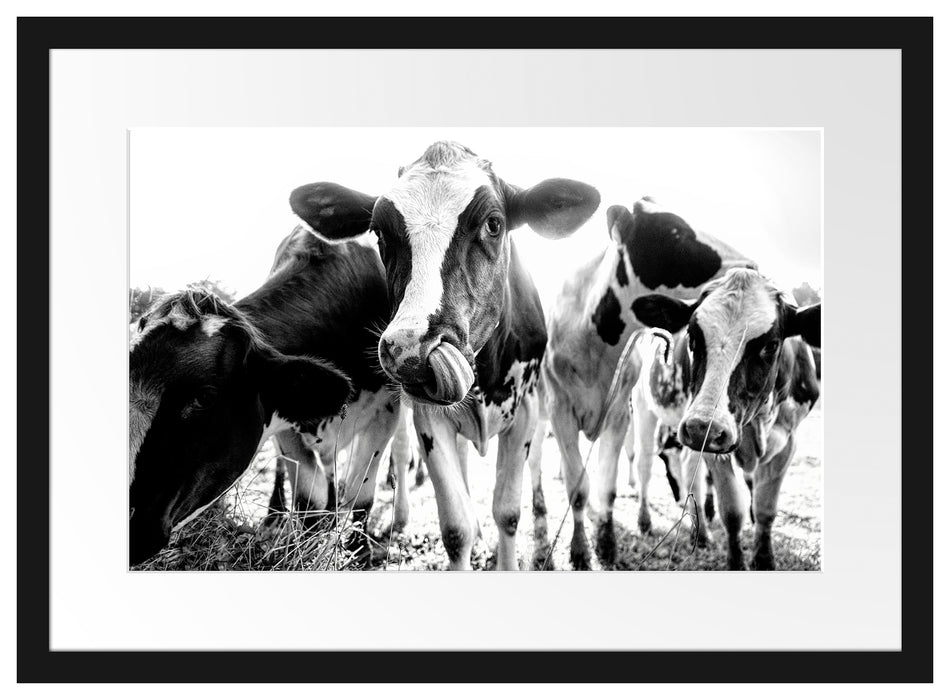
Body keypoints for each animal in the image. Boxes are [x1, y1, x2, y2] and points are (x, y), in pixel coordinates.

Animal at [126, 227, 402, 568]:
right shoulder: (285, 423)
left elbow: (360, 494)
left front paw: (359, 552)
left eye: (204, 398)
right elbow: (309, 498)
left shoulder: (386, 411)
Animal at [290, 141, 604, 568]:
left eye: (493, 224)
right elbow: (456, 527)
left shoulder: (526, 411)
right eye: (379, 232)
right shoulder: (429, 419)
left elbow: (508, 513)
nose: (410, 349)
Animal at [544, 197, 760, 568]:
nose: (751, 266)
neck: (597, 341)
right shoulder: (561, 411)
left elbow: (606, 485)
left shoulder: (618, 413)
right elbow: (577, 486)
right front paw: (580, 550)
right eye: (675, 232)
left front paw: (607, 545)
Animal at [628, 268, 820, 568]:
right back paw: (645, 521)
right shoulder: (713, 445)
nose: (700, 427)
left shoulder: (787, 441)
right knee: (645, 465)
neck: (756, 425)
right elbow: (731, 511)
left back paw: (701, 533)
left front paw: (764, 559)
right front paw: (736, 562)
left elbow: (765, 508)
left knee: (687, 467)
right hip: (645, 408)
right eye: (692, 337)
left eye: (771, 345)